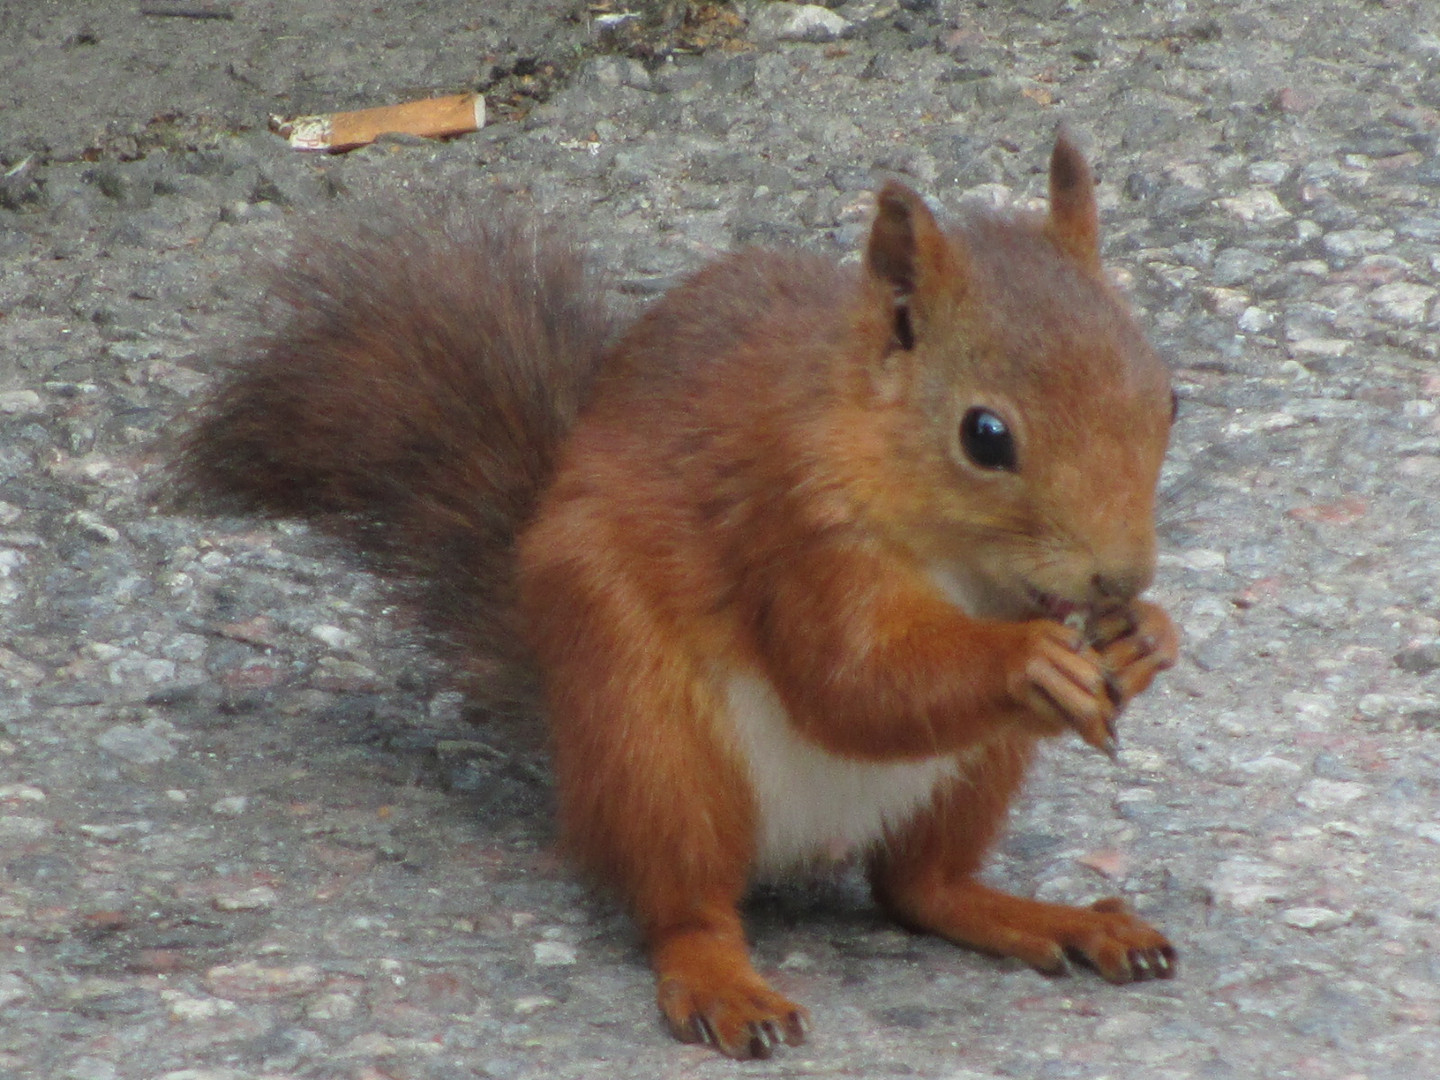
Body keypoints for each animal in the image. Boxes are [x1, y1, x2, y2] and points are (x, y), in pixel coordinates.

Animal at [174, 133, 1180, 1059]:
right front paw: (1029, 659)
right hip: (651, 740)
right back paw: (721, 982)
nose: (1121, 575)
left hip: (975, 768)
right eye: (984, 436)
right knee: (687, 903)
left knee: (921, 888)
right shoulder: (789, 522)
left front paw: (1148, 637)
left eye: (1170, 396)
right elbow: (849, 681)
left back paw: (1056, 919)